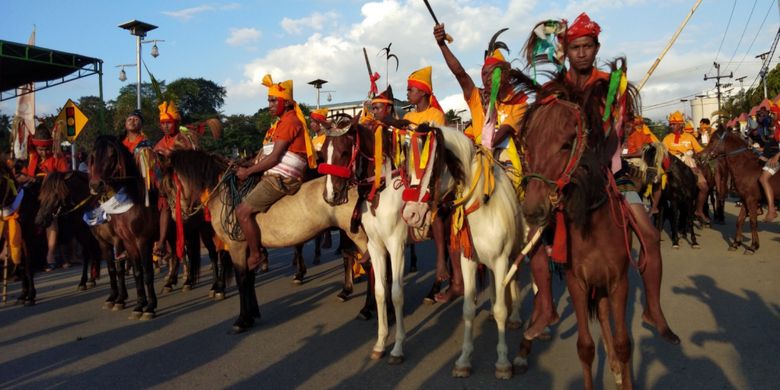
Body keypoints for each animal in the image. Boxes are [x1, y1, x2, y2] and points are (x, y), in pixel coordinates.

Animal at [89, 136, 159, 318]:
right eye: (93, 156)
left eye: (112, 155)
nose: (96, 185)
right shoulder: (124, 242)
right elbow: (133, 272)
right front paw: (139, 305)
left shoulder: (142, 241)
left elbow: (145, 272)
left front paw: (149, 306)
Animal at [162, 149, 368, 332]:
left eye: (169, 186)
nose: (175, 216)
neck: (223, 194)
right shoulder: (248, 248)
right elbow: (250, 278)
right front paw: (253, 313)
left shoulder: (236, 247)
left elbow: (242, 280)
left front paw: (242, 319)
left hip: (359, 236)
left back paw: (367, 309)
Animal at [516, 90, 632, 386]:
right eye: (527, 145)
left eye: (566, 144)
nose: (533, 210)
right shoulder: (577, 283)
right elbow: (586, 348)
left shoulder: (619, 281)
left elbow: (623, 343)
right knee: (601, 312)